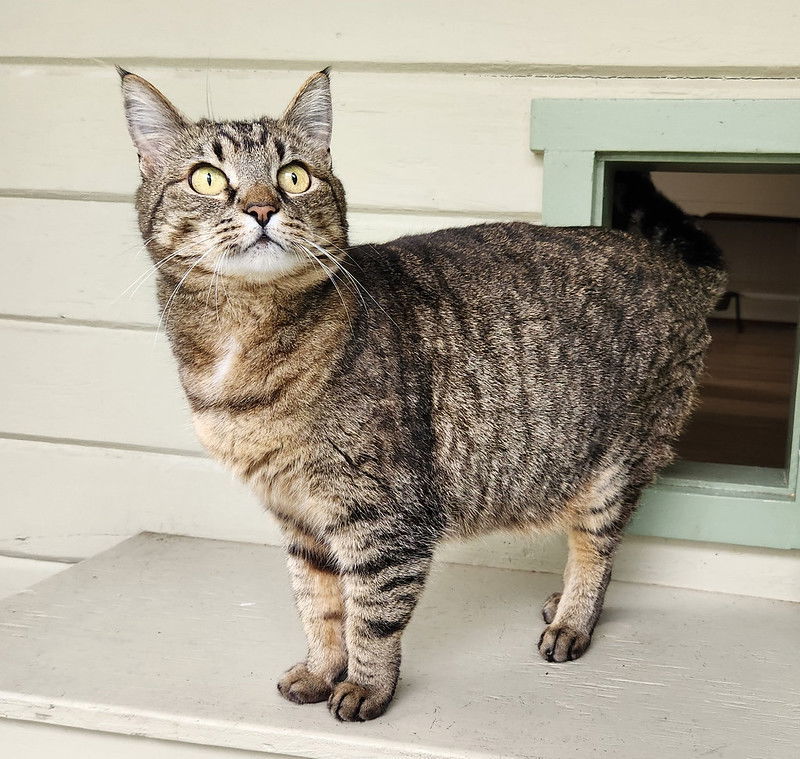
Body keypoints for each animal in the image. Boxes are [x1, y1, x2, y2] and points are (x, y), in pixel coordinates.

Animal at [117, 68, 724, 720]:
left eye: (294, 176)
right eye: (207, 177)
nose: (262, 207)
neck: (242, 342)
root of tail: (675, 265)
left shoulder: (382, 517)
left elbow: (370, 614)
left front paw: (364, 686)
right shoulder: (300, 518)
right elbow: (318, 605)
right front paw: (320, 670)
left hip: (611, 469)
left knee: (598, 551)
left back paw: (572, 619)